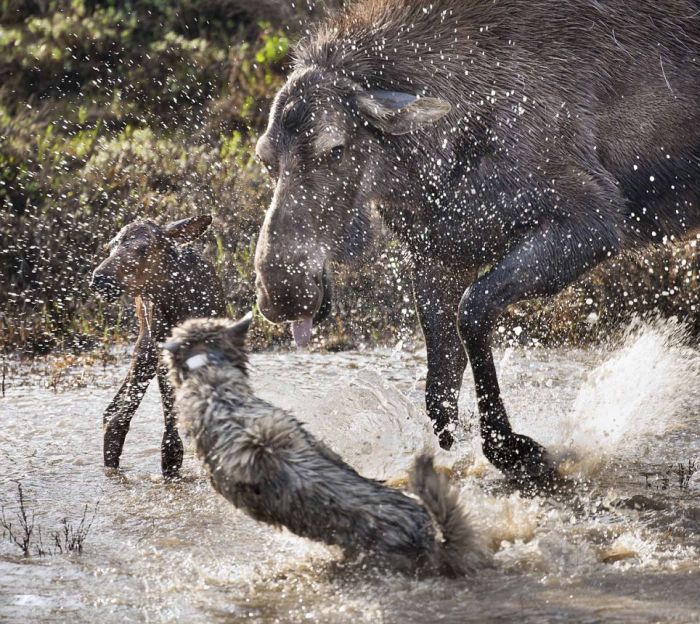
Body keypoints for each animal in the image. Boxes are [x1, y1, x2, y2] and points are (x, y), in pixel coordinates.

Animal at [90, 216, 226, 478]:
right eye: (111, 246)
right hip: (145, 344)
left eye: (143, 248)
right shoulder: (159, 351)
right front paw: (170, 462)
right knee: (115, 416)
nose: (100, 279)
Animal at [253, 0, 700, 488]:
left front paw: (513, 450)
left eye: (334, 148)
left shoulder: (592, 219)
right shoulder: (440, 253)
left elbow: (473, 312)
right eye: (265, 159)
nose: (280, 293)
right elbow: (439, 385)